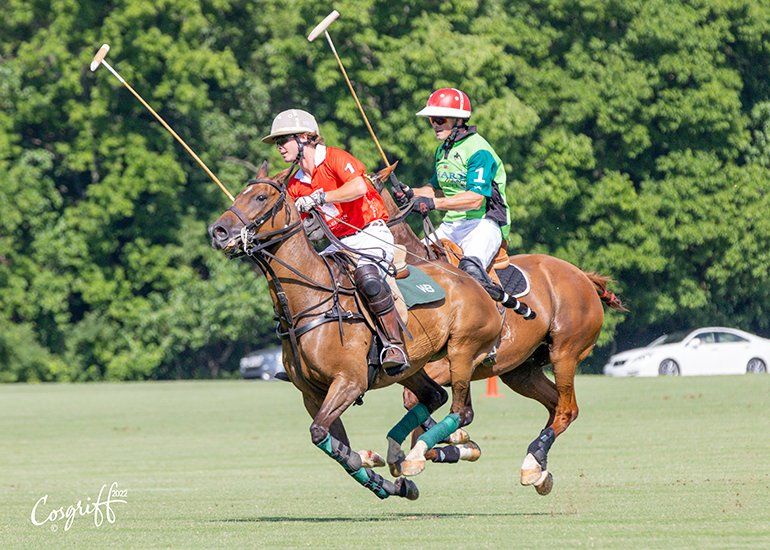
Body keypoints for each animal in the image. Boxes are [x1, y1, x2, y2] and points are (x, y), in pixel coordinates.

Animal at [206, 164, 504, 500]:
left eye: (260, 197)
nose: (218, 231)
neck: (310, 300)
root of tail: (473, 279)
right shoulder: (312, 394)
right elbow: (332, 442)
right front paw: (383, 479)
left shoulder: (349, 381)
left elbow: (322, 434)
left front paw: (372, 465)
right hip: (411, 367)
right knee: (434, 396)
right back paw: (396, 455)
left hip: (462, 351)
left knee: (461, 411)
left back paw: (417, 456)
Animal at [378, 187, 624, 500]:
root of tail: (584, 276)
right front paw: (452, 446)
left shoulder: (448, 364)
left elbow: (426, 407)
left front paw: (454, 443)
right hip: (521, 372)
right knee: (555, 404)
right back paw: (539, 468)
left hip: (565, 352)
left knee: (567, 409)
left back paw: (532, 462)